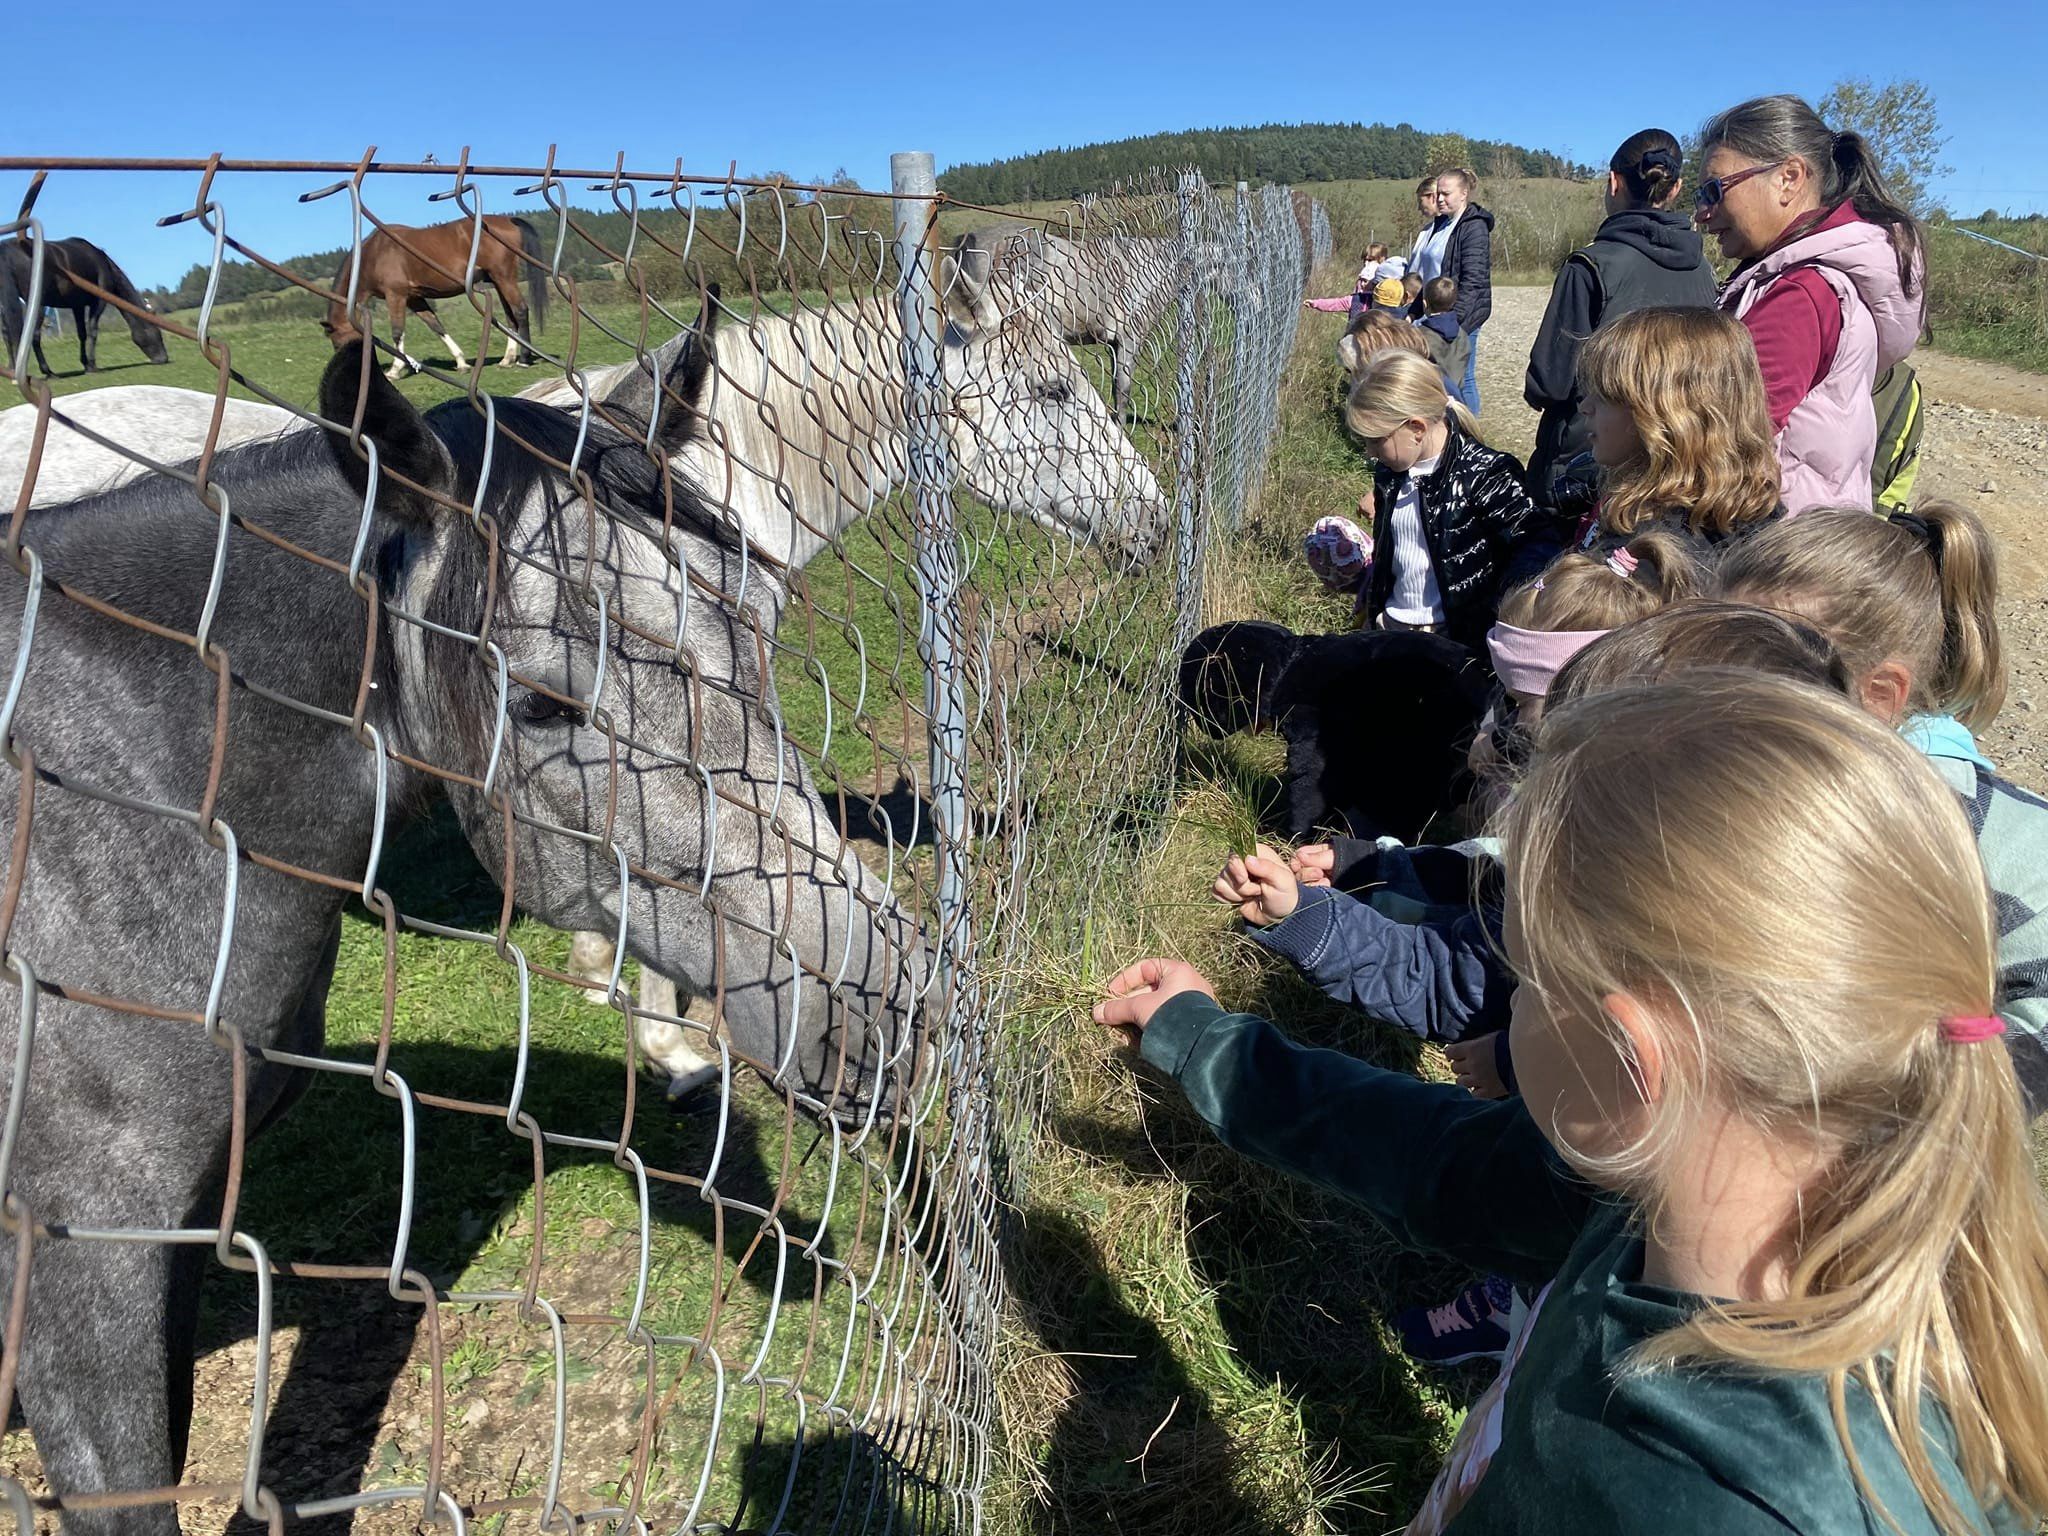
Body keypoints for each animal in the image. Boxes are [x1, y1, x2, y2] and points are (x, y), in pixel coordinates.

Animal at [0, 237, 169, 376]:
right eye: (158, 333)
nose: (164, 358)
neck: (103, 263)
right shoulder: (98, 303)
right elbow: (92, 331)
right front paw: (92, 365)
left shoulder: (77, 306)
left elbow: (82, 333)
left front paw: (85, 364)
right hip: (38, 305)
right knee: (34, 335)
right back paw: (48, 372)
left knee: (7, 334)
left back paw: (12, 368)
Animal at [0, 342, 921, 1531]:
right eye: (538, 703)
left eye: (759, 622)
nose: (879, 1006)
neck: (116, 795)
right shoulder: (87, 1258)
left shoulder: (183, 1232)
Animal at [321, 214, 548, 382]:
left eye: (337, 344)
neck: (373, 254)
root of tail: (508, 220)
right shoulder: (414, 299)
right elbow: (436, 326)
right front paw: (461, 362)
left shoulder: (396, 295)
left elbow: (397, 332)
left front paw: (395, 369)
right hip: (498, 281)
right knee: (510, 317)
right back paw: (508, 358)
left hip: (504, 277)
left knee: (520, 310)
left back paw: (524, 359)